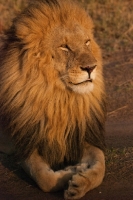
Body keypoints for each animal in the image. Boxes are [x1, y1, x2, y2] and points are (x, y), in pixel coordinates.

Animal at [0, 0, 106, 198]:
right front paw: (69, 174)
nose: (91, 67)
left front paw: (81, 183)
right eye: (64, 47)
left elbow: (100, 165)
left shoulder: (81, 136)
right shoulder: (26, 142)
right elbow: (44, 178)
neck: (59, 99)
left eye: (87, 42)